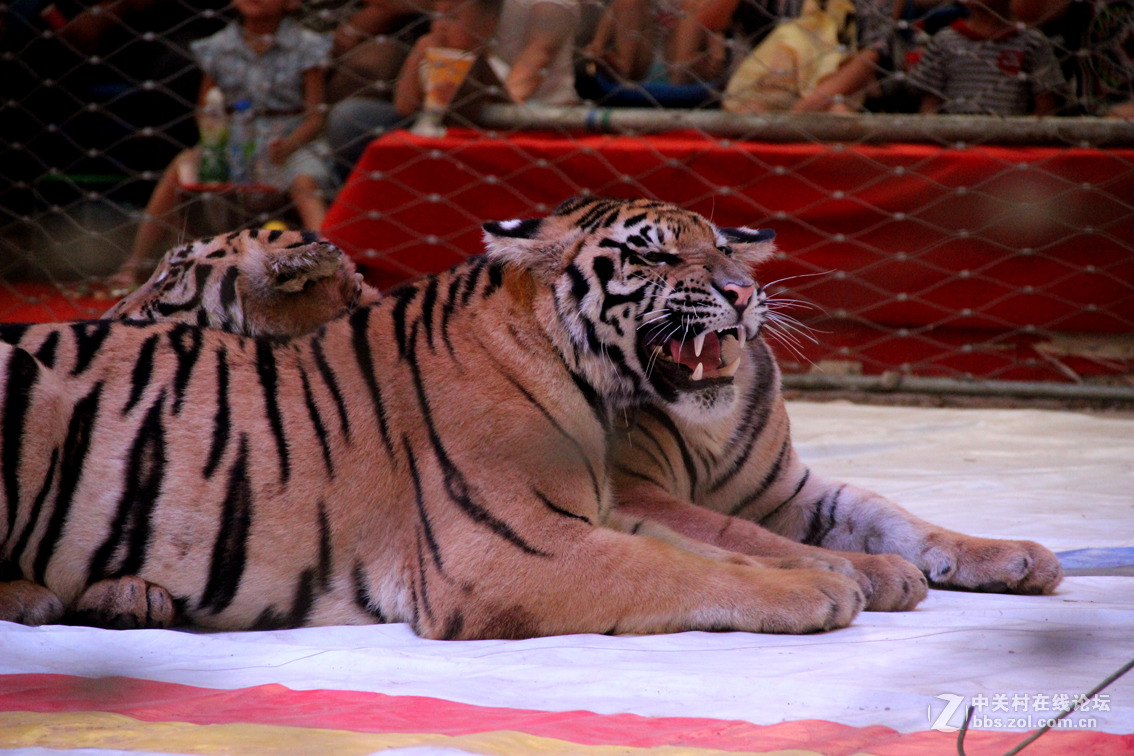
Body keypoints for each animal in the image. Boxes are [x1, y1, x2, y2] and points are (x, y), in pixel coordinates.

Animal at [0, 198, 869, 637]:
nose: (745, 294)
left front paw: (844, 568)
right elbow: (673, 565)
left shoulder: (596, 511)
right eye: (655, 256)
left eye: (722, 248)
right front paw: (822, 591)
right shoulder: (507, 550)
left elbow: (716, 541)